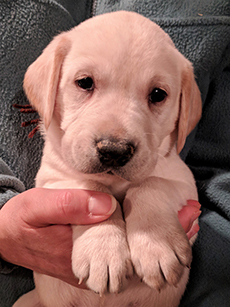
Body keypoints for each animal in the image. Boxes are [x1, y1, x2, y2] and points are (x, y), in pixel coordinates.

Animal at [13, 10, 201, 307]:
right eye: (85, 82)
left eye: (158, 94)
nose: (114, 151)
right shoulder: (51, 180)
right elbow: (93, 188)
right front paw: (102, 251)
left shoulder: (186, 183)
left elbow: (149, 185)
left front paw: (156, 244)